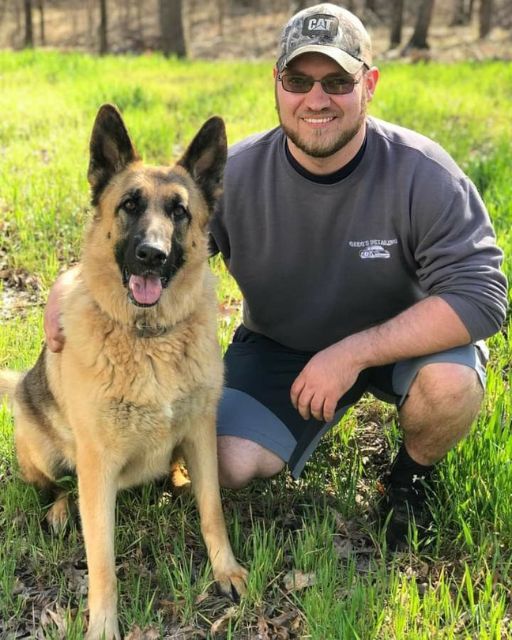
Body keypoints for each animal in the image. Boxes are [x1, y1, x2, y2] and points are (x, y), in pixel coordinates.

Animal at [0, 104, 247, 639]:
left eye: (179, 211)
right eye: (129, 205)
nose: (152, 255)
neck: (149, 338)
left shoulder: (201, 433)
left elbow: (212, 510)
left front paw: (226, 570)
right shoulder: (97, 467)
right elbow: (102, 561)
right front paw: (103, 624)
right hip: (44, 451)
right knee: (51, 488)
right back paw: (58, 511)